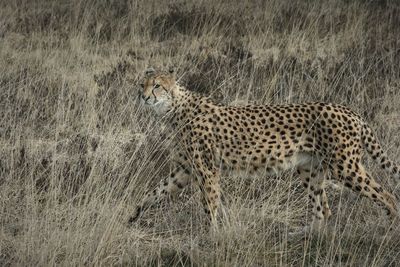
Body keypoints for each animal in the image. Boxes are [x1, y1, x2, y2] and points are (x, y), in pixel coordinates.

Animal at [130, 67, 398, 230]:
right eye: (141, 84)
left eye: (157, 86)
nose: (144, 97)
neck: (173, 108)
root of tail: (350, 111)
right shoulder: (184, 170)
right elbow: (155, 192)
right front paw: (131, 216)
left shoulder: (206, 170)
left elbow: (209, 203)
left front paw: (212, 235)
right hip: (309, 168)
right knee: (323, 210)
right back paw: (305, 235)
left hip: (344, 167)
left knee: (387, 196)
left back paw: (389, 229)